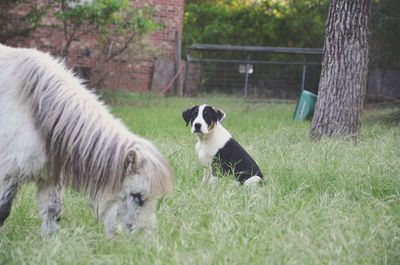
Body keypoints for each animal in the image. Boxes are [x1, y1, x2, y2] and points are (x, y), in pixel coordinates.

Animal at [0, 44, 175, 236]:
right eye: (137, 196)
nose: (143, 238)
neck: (36, 109)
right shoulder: (9, 173)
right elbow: (3, 210)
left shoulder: (50, 178)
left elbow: (53, 213)